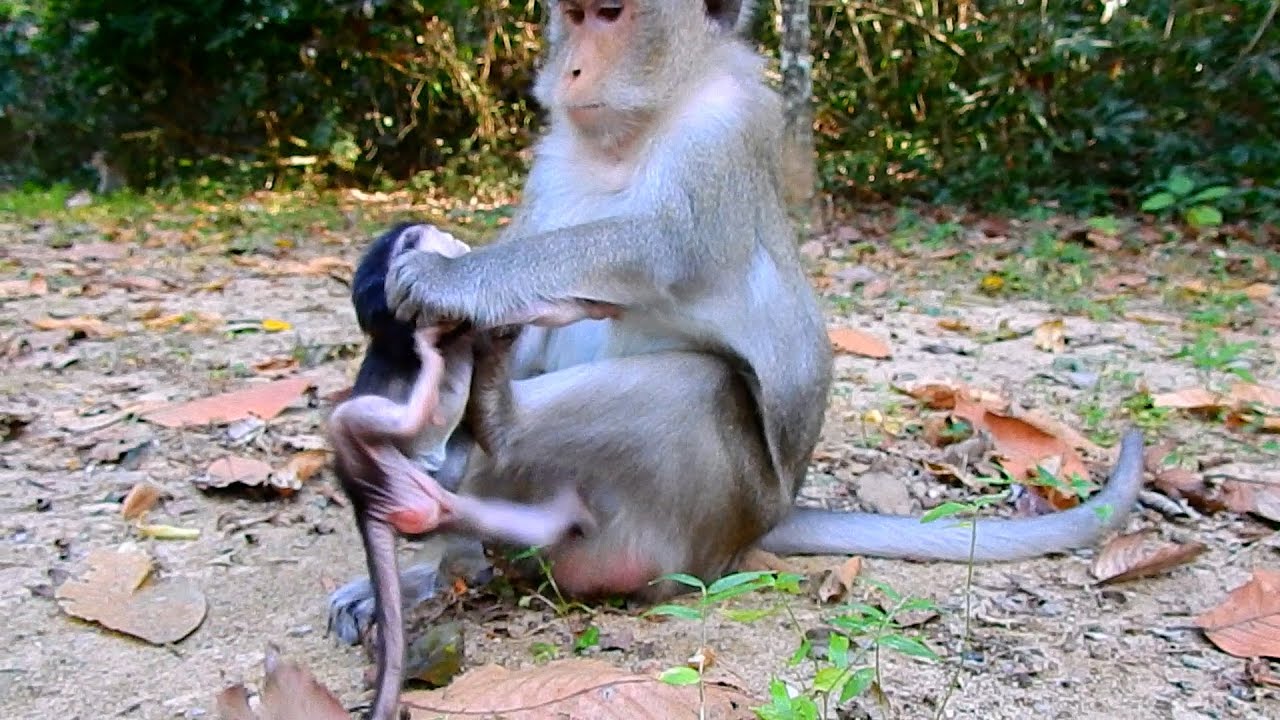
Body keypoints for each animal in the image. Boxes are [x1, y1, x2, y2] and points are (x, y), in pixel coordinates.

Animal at [328, 0, 1146, 702]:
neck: (643, 125)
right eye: (576, 14)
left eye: (613, 14)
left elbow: (652, 248)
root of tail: (766, 521)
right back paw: (446, 540)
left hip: (713, 510)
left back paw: (492, 431)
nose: (571, 71)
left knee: (693, 385)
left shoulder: (723, 131)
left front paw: (447, 277)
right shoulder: (554, 157)